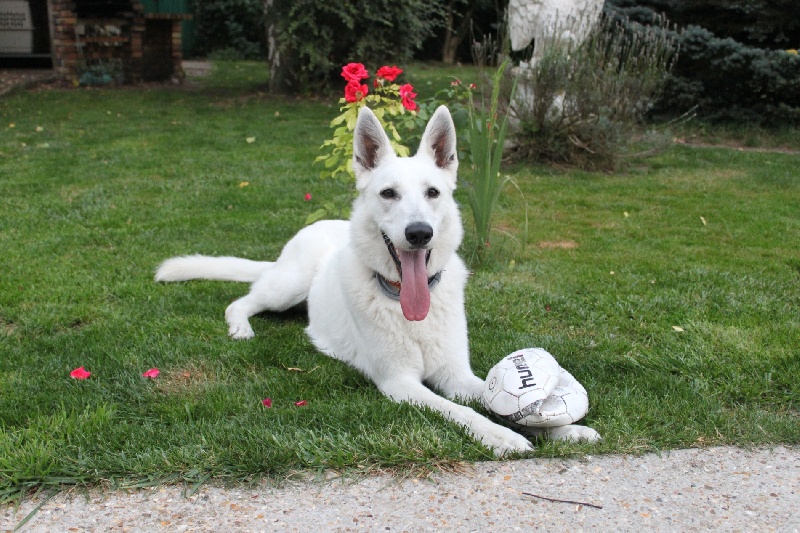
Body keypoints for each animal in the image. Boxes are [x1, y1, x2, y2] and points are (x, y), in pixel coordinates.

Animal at [156, 107, 592, 454]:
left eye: (433, 192)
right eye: (388, 193)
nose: (419, 234)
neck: (406, 306)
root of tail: (320, 226)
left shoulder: (455, 374)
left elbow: (491, 398)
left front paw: (562, 428)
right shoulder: (399, 383)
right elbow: (462, 410)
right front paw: (501, 436)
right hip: (287, 287)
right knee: (241, 301)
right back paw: (241, 328)